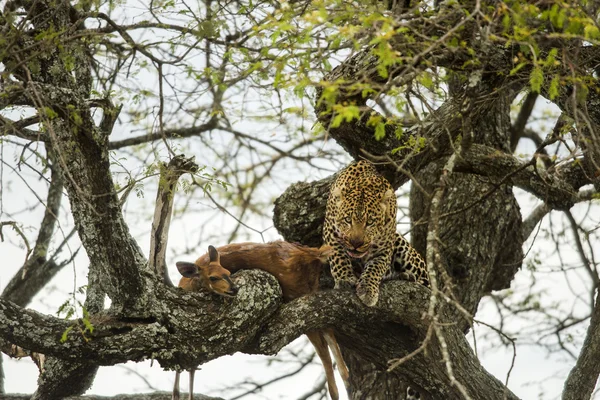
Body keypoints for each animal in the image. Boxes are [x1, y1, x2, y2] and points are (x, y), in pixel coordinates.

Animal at [173, 241, 352, 400]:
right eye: (213, 278)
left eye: (228, 272)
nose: (234, 288)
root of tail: (312, 254)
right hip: (310, 290)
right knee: (327, 329)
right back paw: (344, 379)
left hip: (296, 291)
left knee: (321, 343)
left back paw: (337, 390)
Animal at [324, 159, 432, 306]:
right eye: (347, 220)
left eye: (370, 222)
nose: (355, 244)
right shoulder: (331, 232)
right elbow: (338, 257)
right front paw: (345, 279)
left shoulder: (384, 247)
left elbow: (375, 267)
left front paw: (368, 290)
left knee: (428, 284)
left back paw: (408, 276)